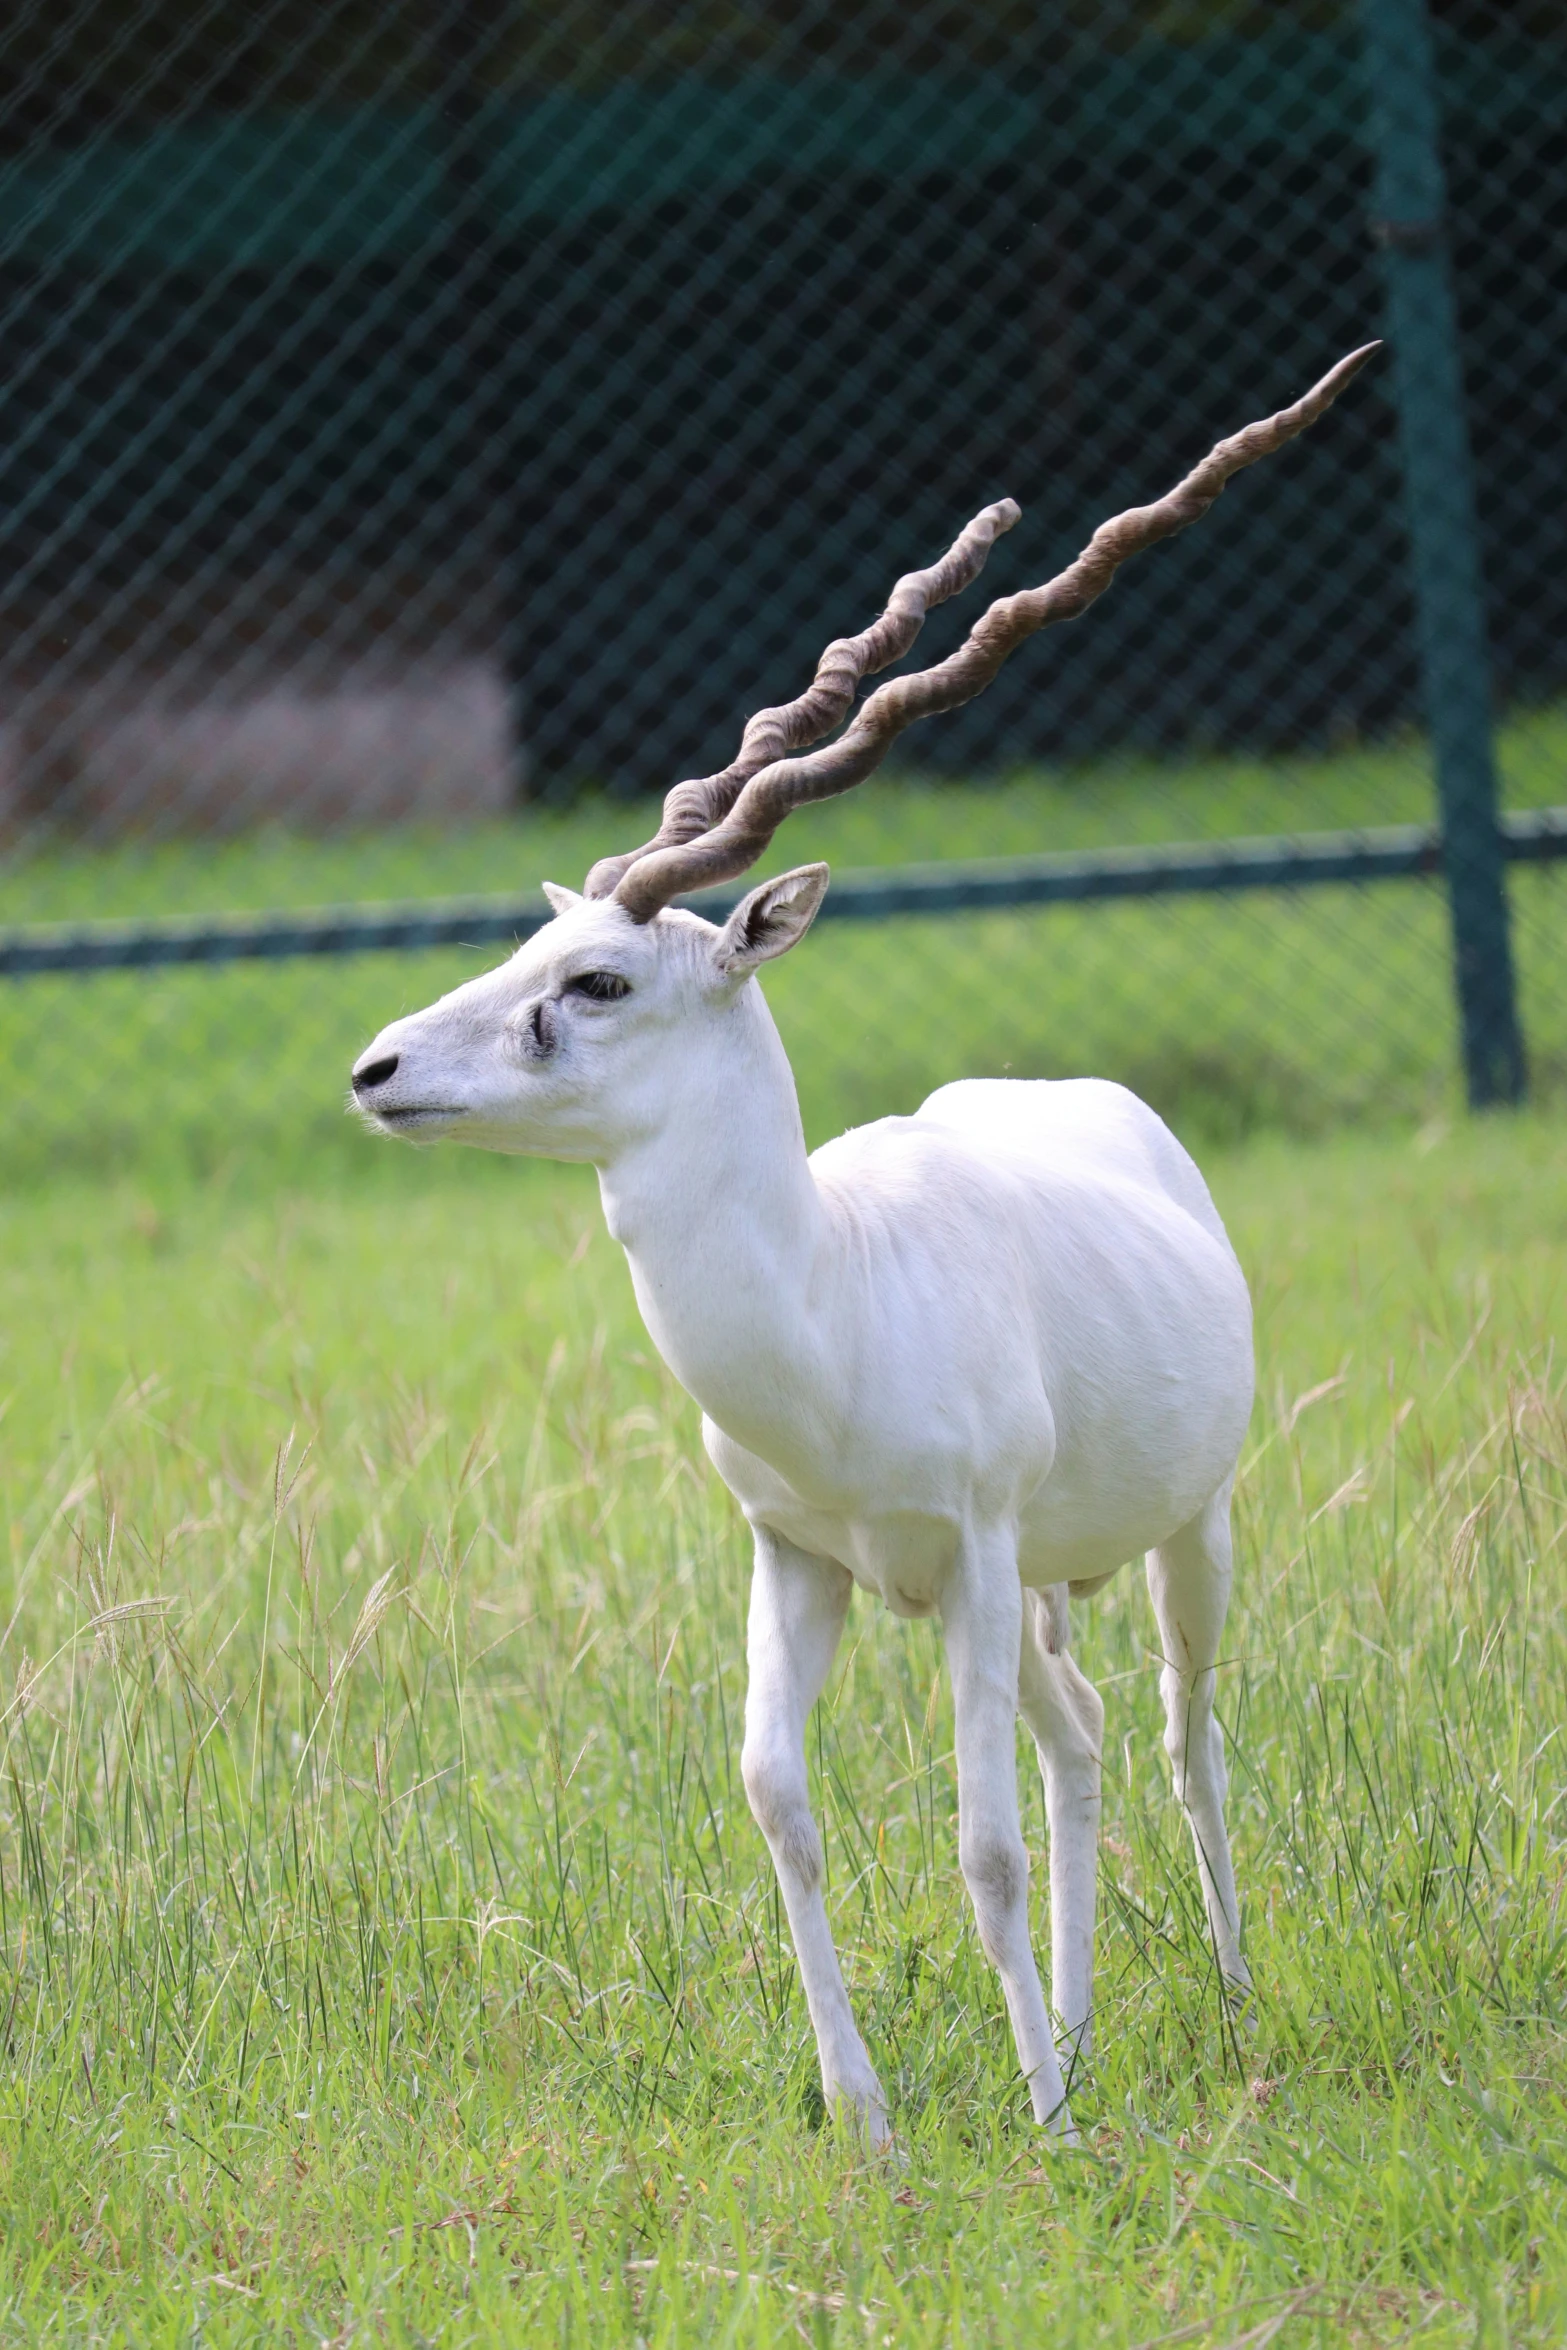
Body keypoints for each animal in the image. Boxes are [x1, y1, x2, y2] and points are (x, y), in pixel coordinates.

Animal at [352, 352, 1372, 2152]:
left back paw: (1226, 1998)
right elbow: (780, 1801)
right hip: (1028, 1589)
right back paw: (1083, 2034)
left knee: (1178, 1731)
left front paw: (1034, 2126)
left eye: (596, 980)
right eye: (533, 945)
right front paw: (872, 2116)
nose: (377, 1067)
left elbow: (978, 1841)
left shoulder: (961, 1550)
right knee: (1083, 1737)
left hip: (1179, 1533)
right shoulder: (802, 1555)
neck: (829, 1307)